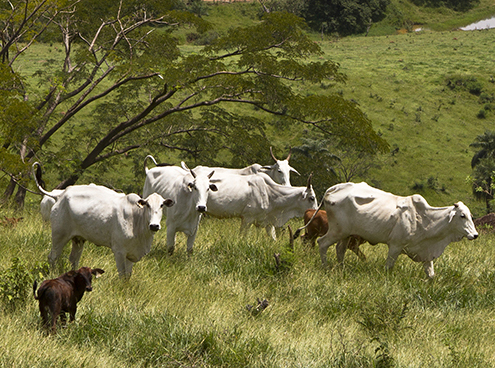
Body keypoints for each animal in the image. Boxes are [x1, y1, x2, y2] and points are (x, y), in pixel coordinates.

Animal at [34, 168, 174, 278]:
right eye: (147, 205)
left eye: (162, 205)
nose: (154, 225)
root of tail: (60, 195)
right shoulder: (119, 251)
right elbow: (122, 275)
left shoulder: (131, 254)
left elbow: (128, 276)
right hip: (59, 235)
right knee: (53, 257)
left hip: (78, 239)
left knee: (74, 259)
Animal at [314, 181, 480, 276]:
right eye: (462, 216)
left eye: (470, 216)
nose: (475, 235)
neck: (425, 220)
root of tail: (335, 188)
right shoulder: (395, 246)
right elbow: (389, 267)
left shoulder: (426, 253)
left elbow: (431, 275)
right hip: (337, 231)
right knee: (322, 243)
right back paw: (325, 268)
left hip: (346, 234)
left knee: (340, 249)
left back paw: (340, 269)